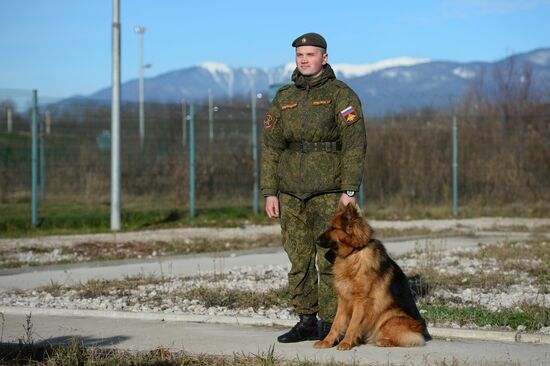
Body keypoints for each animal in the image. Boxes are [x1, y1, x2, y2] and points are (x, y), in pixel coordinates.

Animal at [314, 202, 432, 350]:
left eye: (333, 228)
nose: (316, 241)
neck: (354, 252)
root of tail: (421, 330)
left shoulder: (361, 302)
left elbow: (352, 325)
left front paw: (346, 343)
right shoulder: (343, 300)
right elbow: (336, 324)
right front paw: (327, 341)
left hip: (389, 314)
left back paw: (383, 341)